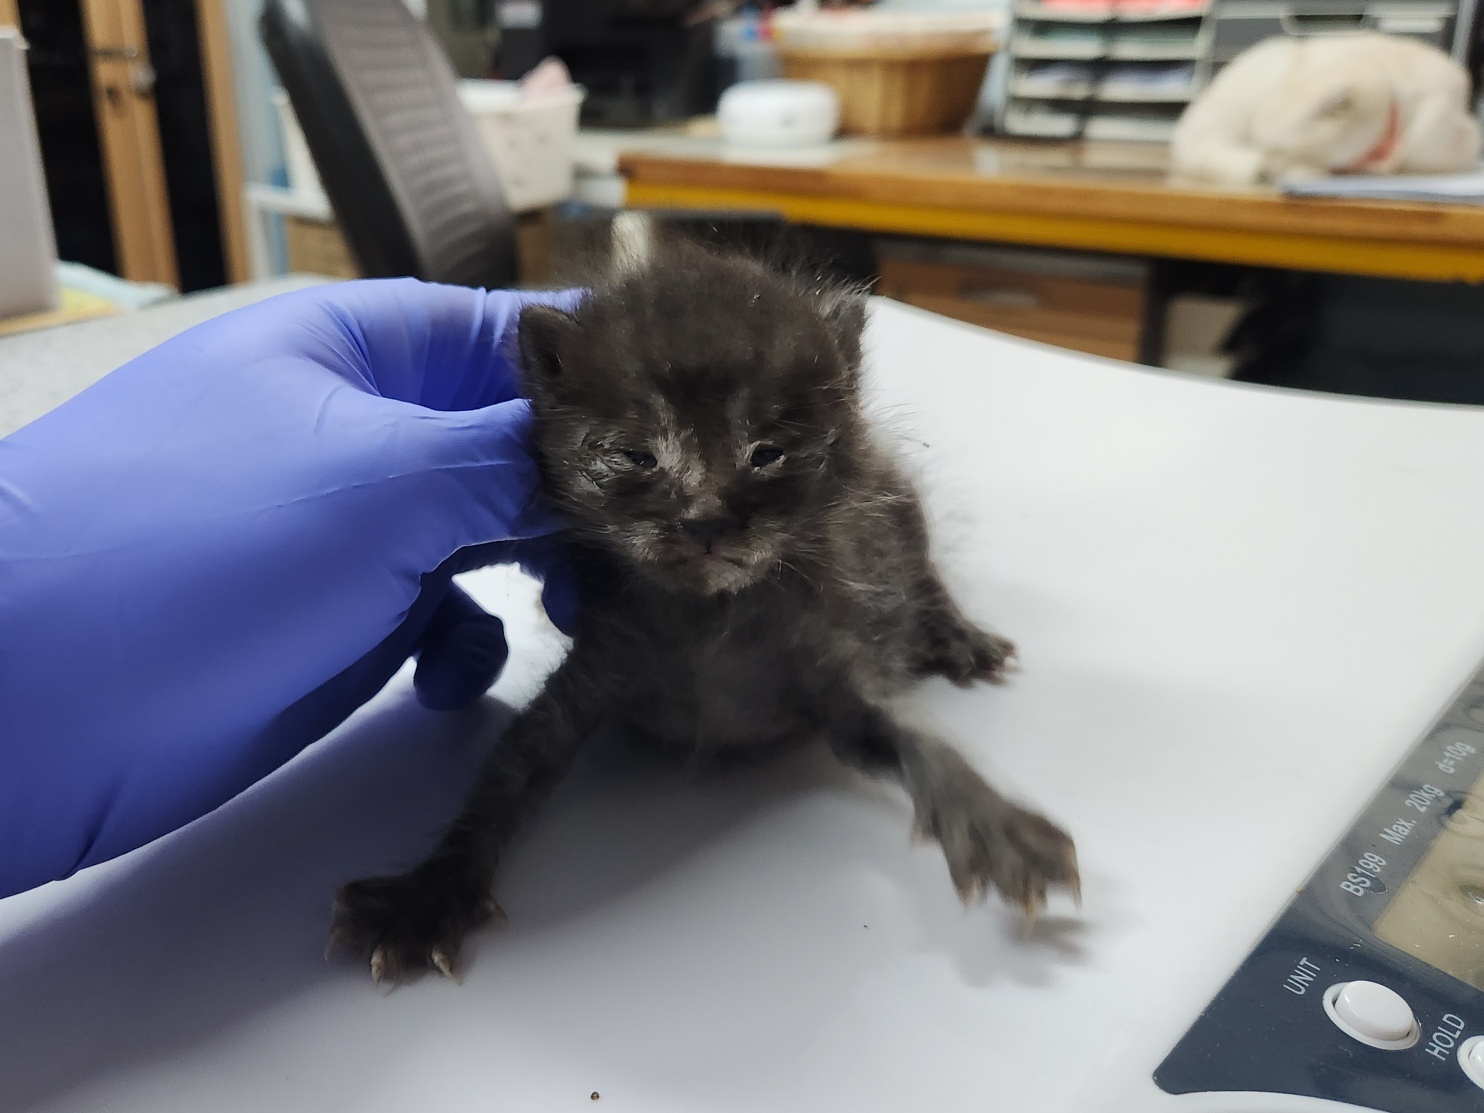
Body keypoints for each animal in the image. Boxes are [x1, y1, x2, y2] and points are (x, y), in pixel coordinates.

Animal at [333, 246, 1080, 985]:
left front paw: (993, 825)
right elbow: (509, 769)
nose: (706, 518)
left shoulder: (832, 673)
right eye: (637, 455)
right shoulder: (598, 666)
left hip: (896, 495)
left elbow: (918, 740)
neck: (709, 618)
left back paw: (958, 635)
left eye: (767, 453)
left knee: (919, 563)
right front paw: (429, 890)